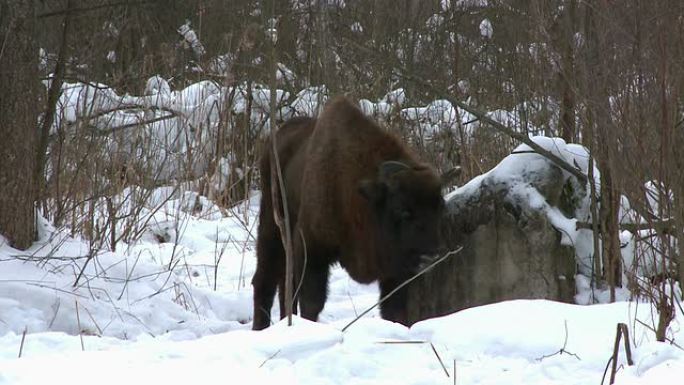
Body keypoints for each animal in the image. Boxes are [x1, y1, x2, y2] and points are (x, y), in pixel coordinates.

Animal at [251, 96, 444, 330]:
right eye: (402, 209)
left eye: (440, 206)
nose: (431, 256)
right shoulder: (312, 249)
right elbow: (312, 302)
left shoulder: (395, 273)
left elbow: (393, 310)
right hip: (271, 225)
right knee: (265, 280)